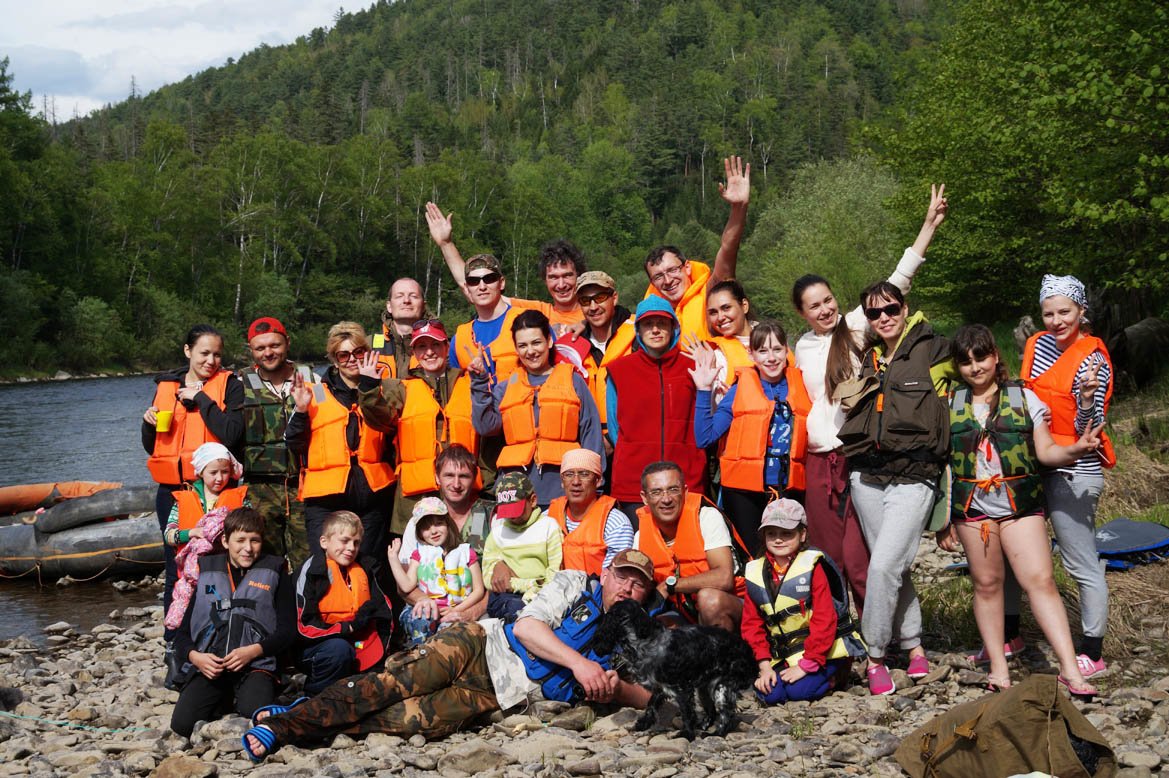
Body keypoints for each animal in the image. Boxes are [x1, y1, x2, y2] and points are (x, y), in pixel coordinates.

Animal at [593, 595, 757, 738]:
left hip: (721, 687)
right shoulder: (661, 687)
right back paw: (703, 726)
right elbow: (650, 705)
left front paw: (687, 734)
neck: (645, 641)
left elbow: (687, 713)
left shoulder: (682, 688)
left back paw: (715, 733)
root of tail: (748, 650)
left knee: (726, 715)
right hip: (705, 688)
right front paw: (643, 724)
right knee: (712, 712)